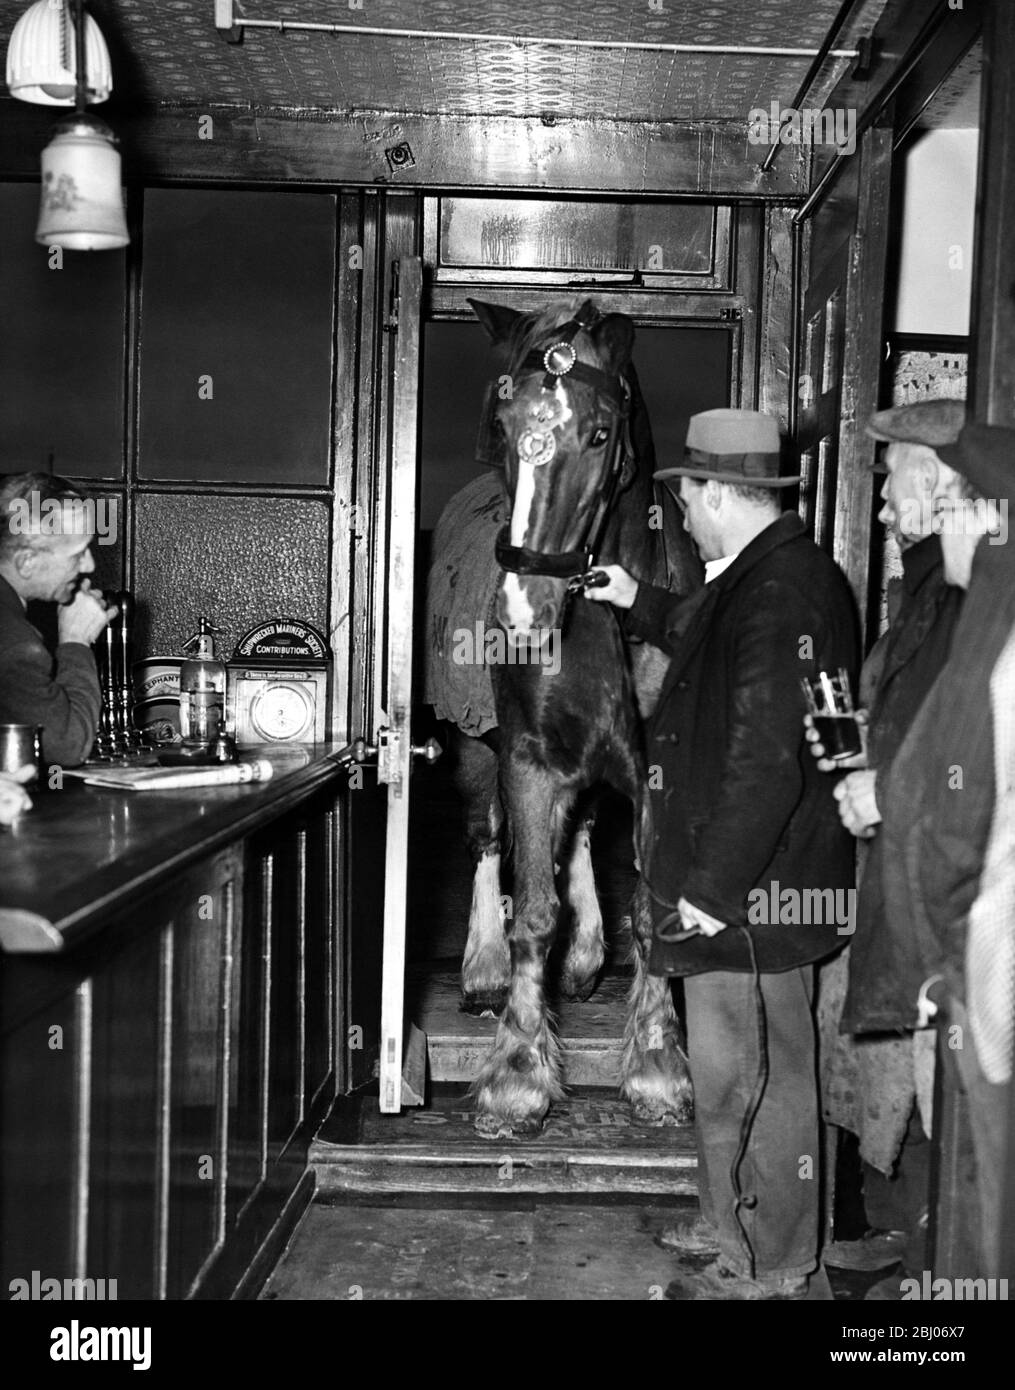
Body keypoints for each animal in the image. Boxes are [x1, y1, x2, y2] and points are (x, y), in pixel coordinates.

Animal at [422, 296, 700, 1139]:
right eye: (504, 422)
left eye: (601, 434)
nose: (521, 611)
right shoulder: (527, 759)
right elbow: (533, 913)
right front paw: (517, 1077)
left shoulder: (651, 770)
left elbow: (647, 908)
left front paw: (655, 1066)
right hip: (477, 750)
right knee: (487, 840)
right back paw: (481, 968)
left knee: (576, 832)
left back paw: (583, 958)